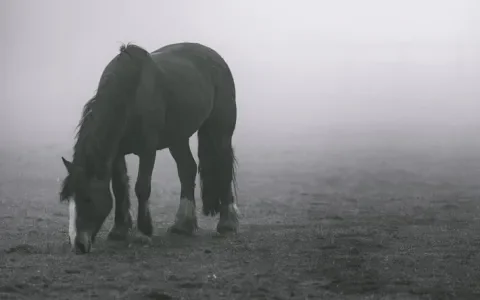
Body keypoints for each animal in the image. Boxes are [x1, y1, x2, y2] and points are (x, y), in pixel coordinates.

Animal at [60, 42, 240, 253]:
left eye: (88, 198)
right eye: (69, 199)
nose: (78, 244)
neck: (131, 95)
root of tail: (216, 58)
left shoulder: (148, 150)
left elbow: (142, 187)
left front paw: (143, 233)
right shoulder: (117, 153)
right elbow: (119, 187)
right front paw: (119, 230)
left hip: (220, 131)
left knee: (223, 167)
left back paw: (227, 223)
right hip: (177, 138)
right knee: (187, 169)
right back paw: (183, 225)